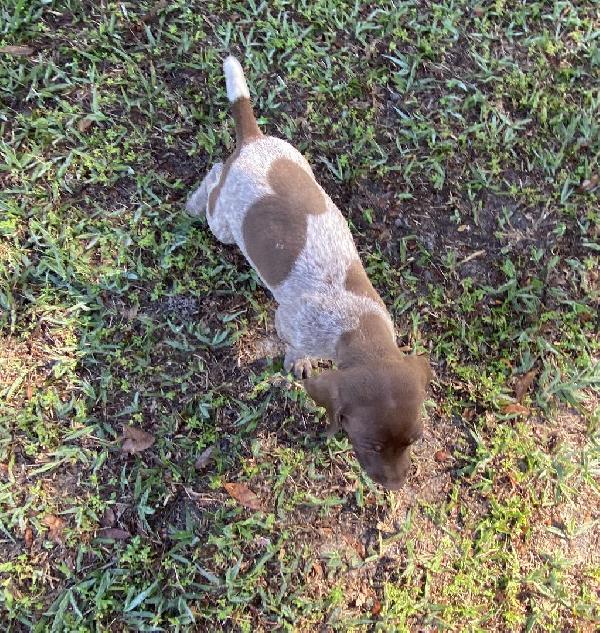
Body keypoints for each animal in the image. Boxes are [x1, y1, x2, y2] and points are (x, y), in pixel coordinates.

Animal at [188, 55, 432, 488]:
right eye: (368, 445)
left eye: (414, 439)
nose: (395, 486)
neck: (356, 325)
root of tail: (253, 142)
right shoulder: (292, 324)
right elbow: (295, 348)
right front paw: (297, 363)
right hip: (223, 223)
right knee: (215, 174)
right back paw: (196, 200)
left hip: (296, 158)